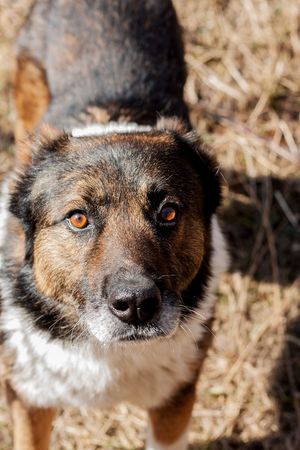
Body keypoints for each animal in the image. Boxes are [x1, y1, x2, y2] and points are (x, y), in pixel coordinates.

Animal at [0, 0, 227, 450]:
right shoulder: (30, 398)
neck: (104, 350)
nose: (136, 305)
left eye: (168, 212)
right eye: (78, 218)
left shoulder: (175, 401)